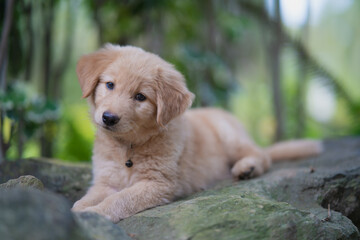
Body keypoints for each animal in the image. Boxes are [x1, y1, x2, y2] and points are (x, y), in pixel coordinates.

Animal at [71, 44, 322, 222]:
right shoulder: (104, 181)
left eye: (140, 97)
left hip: (230, 136)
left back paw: (246, 168)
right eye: (110, 85)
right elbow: (86, 199)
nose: (109, 118)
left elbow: (119, 199)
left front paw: (95, 213)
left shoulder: (158, 183)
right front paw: (79, 211)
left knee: (262, 154)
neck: (128, 147)